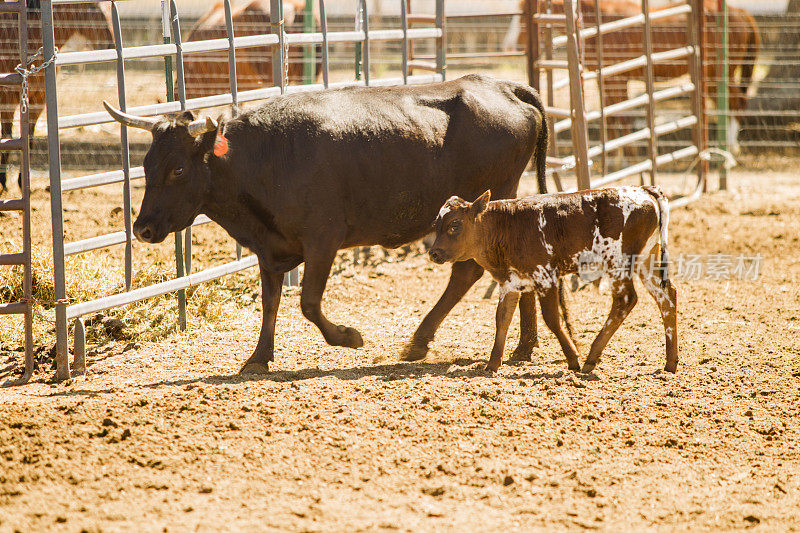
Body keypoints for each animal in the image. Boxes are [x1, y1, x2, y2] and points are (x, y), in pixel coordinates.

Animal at [0, 0, 113, 191]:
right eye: (92, 7)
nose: (111, 44)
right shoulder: (7, 101)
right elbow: (7, 137)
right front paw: (3, 181)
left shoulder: (38, 100)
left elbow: (28, 139)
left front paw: (23, 183)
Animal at [101, 75, 552, 372]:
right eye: (146, 164)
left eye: (178, 168)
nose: (141, 228)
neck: (265, 158)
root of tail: (503, 87)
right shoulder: (270, 247)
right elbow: (270, 302)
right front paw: (258, 357)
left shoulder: (323, 240)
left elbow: (308, 302)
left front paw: (348, 337)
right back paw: (524, 347)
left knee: (468, 272)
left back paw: (420, 343)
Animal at [428, 185, 680, 372]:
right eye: (436, 225)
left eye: (455, 225)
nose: (433, 253)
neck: (508, 226)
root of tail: (643, 190)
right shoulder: (510, 282)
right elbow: (502, 318)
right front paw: (492, 364)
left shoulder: (546, 277)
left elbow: (551, 318)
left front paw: (573, 359)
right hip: (646, 261)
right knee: (667, 298)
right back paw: (670, 362)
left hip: (618, 263)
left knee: (625, 300)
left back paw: (590, 358)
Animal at [510, 0, 760, 150]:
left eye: (525, 15)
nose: (515, 45)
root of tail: (741, 13)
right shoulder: (607, 80)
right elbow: (611, 118)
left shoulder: (617, 79)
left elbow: (621, 117)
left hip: (718, 74)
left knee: (738, 101)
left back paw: (730, 148)